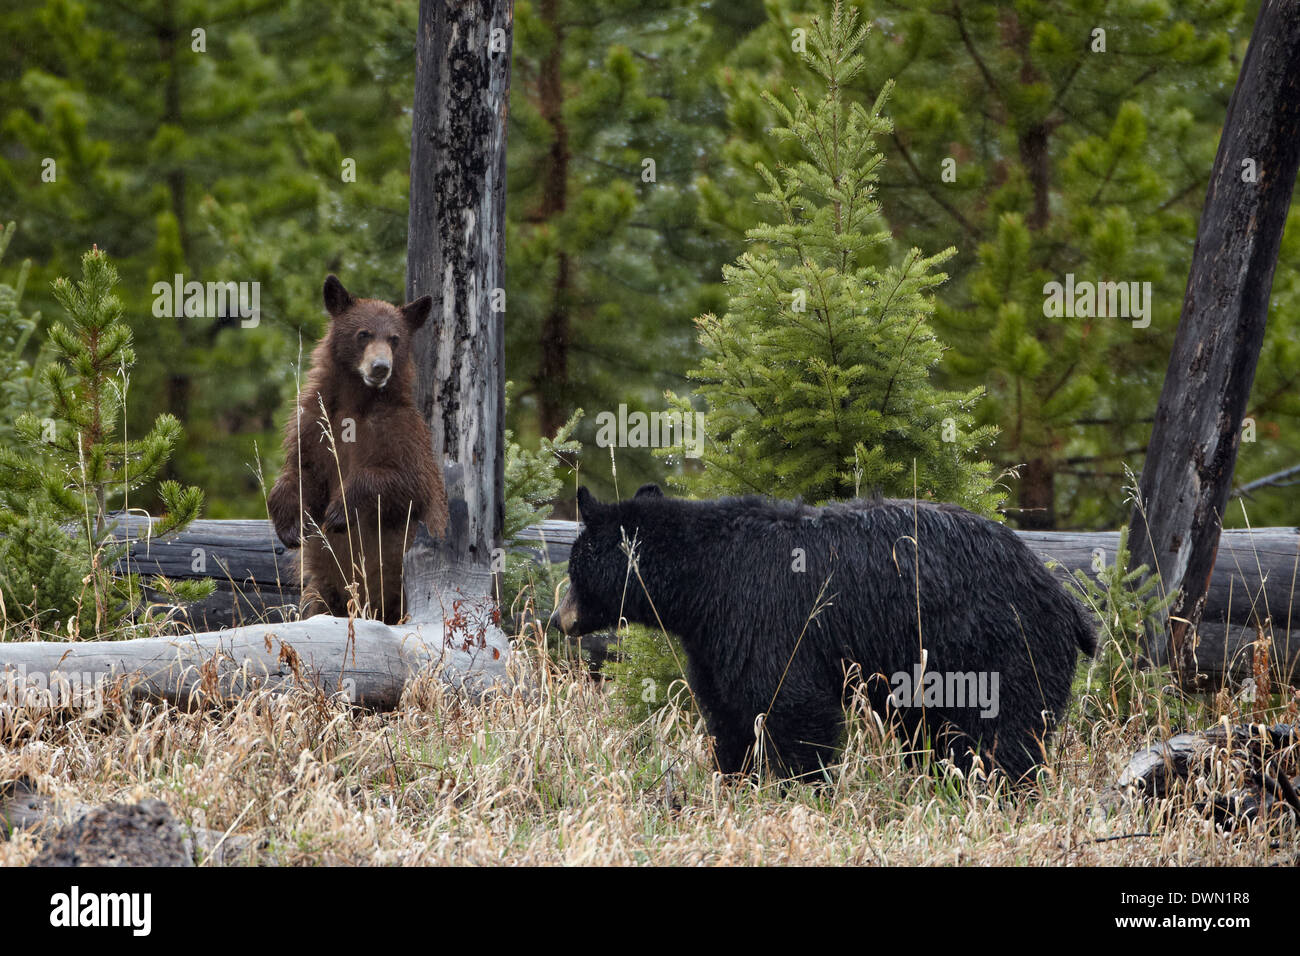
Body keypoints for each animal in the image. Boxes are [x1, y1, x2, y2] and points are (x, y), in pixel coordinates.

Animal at [266, 273, 449, 624]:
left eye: (394, 339)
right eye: (363, 334)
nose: (380, 367)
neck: (356, 401)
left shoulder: (401, 432)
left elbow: (409, 483)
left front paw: (340, 509)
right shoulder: (314, 422)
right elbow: (301, 470)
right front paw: (290, 525)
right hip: (326, 585)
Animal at [551, 486, 1097, 785]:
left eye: (576, 568)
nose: (559, 619)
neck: (701, 584)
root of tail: (1068, 602)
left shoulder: (766, 619)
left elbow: (793, 707)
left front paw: (805, 786)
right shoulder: (715, 640)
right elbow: (727, 711)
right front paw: (735, 780)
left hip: (998, 650)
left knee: (1004, 736)